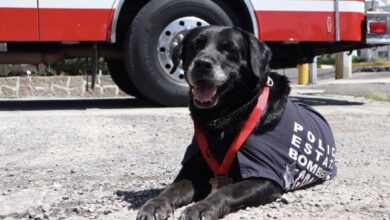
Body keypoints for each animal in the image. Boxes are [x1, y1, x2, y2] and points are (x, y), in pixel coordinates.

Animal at [136, 26, 336, 220]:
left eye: (229, 49)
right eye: (195, 45)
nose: (202, 63)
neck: (225, 117)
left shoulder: (265, 177)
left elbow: (228, 190)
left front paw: (202, 207)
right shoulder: (193, 168)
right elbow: (172, 188)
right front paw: (155, 204)